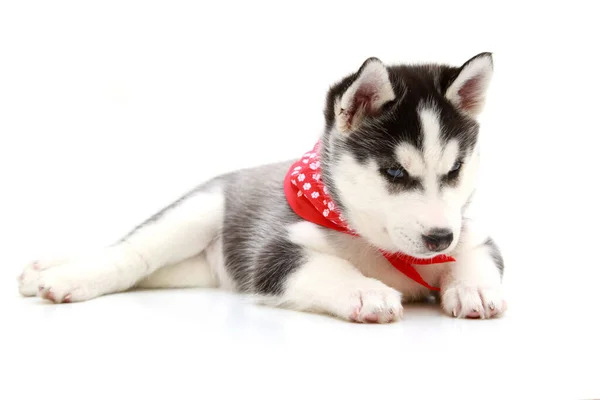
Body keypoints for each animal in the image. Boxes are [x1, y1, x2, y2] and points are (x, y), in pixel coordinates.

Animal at [17, 52, 506, 322]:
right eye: (394, 173)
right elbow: (325, 267)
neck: (376, 245)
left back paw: (44, 269)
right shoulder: (273, 252)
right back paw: (63, 276)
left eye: (455, 169)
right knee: (130, 253)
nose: (439, 238)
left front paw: (474, 287)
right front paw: (365, 290)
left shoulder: (471, 233)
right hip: (197, 212)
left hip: (196, 268)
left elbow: (476, 256)